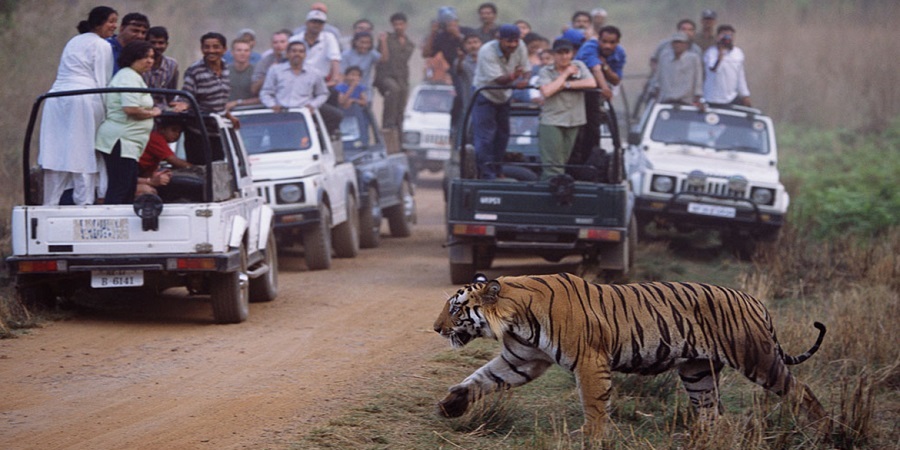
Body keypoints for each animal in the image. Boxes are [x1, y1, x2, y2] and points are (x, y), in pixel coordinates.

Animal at [432, 272, 828, 442]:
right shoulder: (522, 359)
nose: (436, 328)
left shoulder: (590, 361)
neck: (516, 317)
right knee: (714, 414)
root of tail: (755, 300)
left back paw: (824, 428)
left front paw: (590, 437)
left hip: (757, 358)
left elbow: (594, 404)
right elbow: (483, 378)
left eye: (455, 308)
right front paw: (451, 405)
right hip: (698, 372)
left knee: (801, 390)